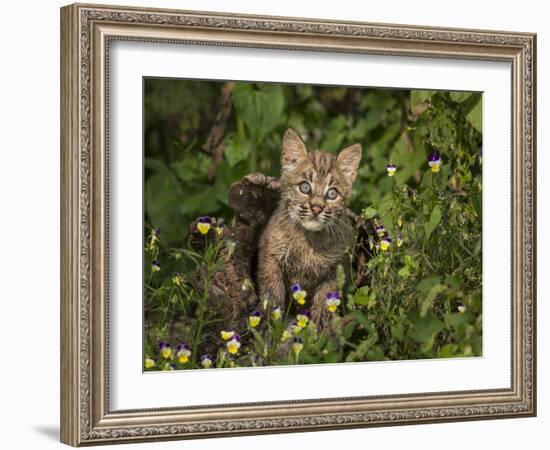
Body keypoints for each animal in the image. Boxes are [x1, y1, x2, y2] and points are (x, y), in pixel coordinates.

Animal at [258, 127, 362, 324]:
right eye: (305, 187)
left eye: (332, 193)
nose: (316, 208)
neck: (308, 238)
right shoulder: (270, 252)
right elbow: (272, 286)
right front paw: (273, 317)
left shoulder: (337, 264)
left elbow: (327, 294)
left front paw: (320, 319)